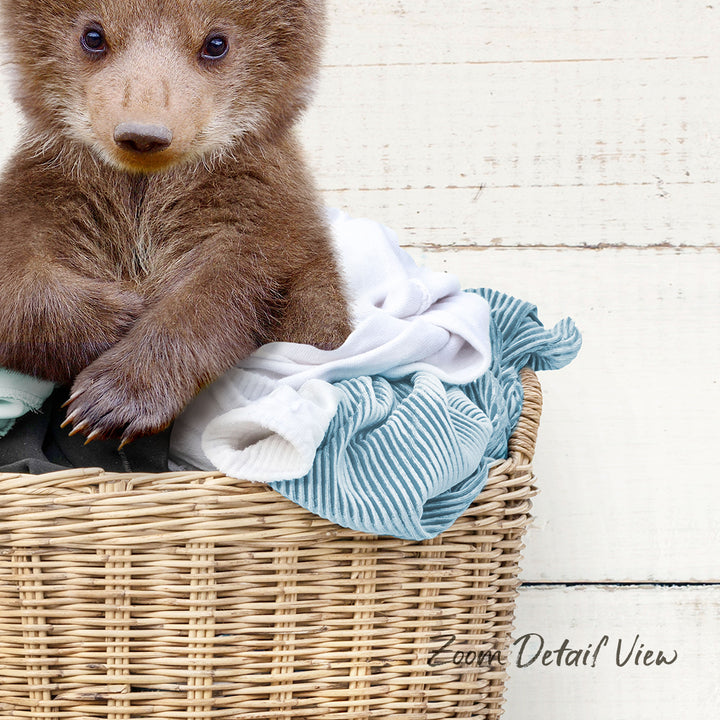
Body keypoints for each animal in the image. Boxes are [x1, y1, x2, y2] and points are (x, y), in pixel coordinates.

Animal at [0, 0, 351, 447]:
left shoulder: (259, 207)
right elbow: (18, 272)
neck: (144, 189)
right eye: (93, 36)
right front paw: (120, 314)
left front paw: (108, 402)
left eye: (216, 43)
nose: (143, 134)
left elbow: (227, 287)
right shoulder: (55, 187)